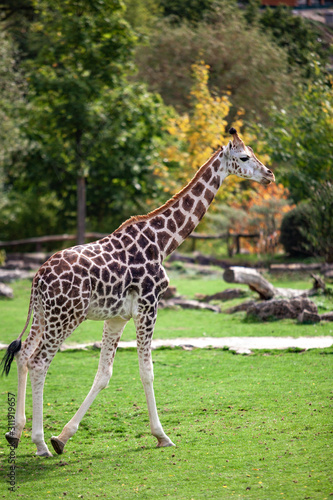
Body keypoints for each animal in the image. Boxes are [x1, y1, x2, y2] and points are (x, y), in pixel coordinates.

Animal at [1, 128, 274, 458]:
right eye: (244, 157)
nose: (269, 175)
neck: (163, 243)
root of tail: (37, 279)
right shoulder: (148, 305)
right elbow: (147, 371)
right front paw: (162, 435)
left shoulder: (116, 317)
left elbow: (104, 374)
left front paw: (63, 436)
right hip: (66, 316)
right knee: (39, 362)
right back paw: (40, 443)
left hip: (44, 315)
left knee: (23, 354)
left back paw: (16, 433)